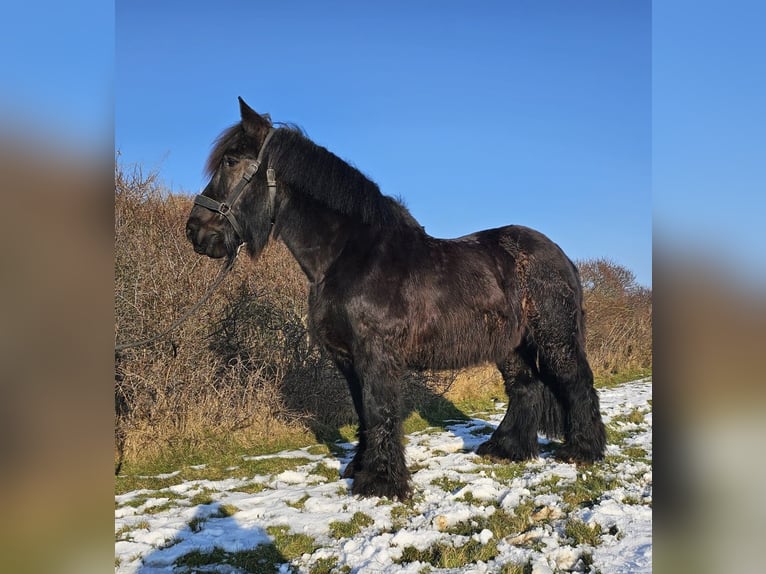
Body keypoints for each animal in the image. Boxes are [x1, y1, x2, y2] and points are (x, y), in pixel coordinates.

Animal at [184, 98, 608, 500]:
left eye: (230, 160)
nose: (195, 231)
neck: (347, 255)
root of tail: (561, 257)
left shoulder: (377, 354)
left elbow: (380, 410)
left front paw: (381, 483)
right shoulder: (347, 357)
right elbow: (363, 411)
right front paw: (359, 468)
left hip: (555, 338)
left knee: (576, 383)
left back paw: (583, 451)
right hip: (511, 345)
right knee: (525, 387)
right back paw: (506, 449)